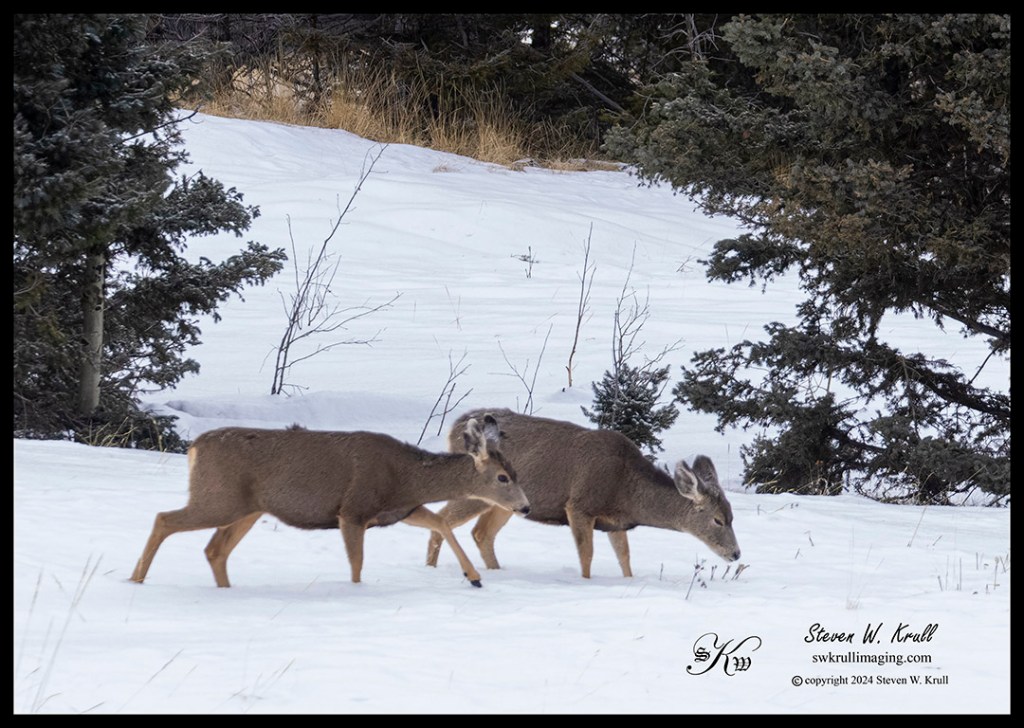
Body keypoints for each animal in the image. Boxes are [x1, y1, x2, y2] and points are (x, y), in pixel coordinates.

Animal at [130, 415, 529, 589]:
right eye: (503, 477)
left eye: (514, 471)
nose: (525, 507)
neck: (406, 478)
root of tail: (194, 447)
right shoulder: (353, 509)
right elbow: (357, 561)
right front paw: (355, 590)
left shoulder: (398, 509)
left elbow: (440, 521)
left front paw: (474, 577)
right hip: (218, 498)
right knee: (164, 518)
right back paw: (136, 579)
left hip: (247, 508)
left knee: (215, 550)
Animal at [426, 408, 740, 579]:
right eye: (718, 520)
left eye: (732, 516)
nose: (736, 554)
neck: (626, 489)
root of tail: (454, 427)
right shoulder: (579, 505)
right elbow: (586, 555)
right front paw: (586, 582)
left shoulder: (614, 522)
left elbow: (625, 557)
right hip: (478, 490)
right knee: (442, 519)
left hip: (507, 502)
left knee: (481, 533)